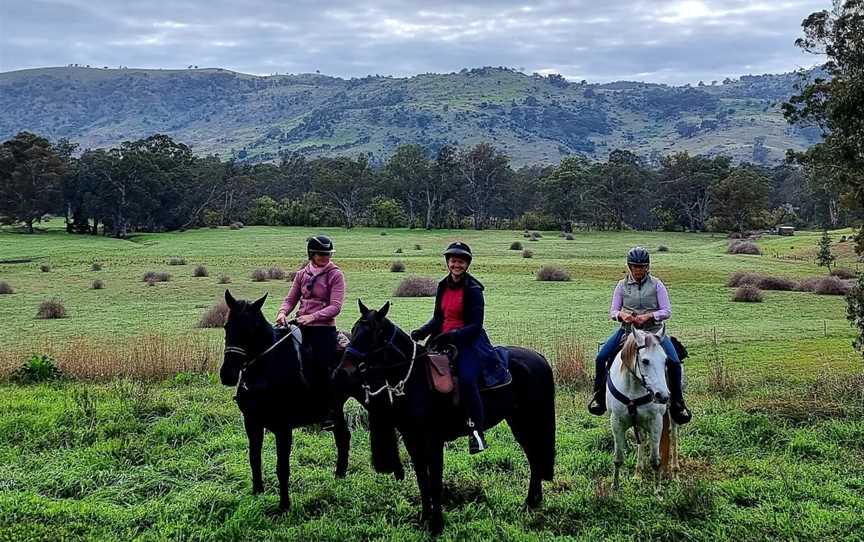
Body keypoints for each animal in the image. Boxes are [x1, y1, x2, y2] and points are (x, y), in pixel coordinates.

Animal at [219, 292, 354, 512]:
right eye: (226, 326)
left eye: (252, 329)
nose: (227, 375)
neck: (266, 369)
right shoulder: (252, 423)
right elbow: (254, 458)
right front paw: (257, 492)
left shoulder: (283, 428)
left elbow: (282, 467)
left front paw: (284, 506)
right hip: (337, 409)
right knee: (343, 436)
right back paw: (339, 476)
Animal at [334, 302, 556, 536]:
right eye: (354, 330)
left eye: (373, 334)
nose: (341, 373)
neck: (416, 379)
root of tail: (538, 357)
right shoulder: (412, 439)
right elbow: (422, 479)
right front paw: (424, 518)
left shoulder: (433, 441)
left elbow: (435, 483)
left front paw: (437, 526)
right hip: (517, 421)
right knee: (534, 457)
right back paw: (532, 502)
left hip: (528, 421)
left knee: (534, 456)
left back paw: (531, 502)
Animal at [608, 328, 680, 492]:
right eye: (645, 361)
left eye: (665, 361)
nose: (663, 396)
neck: (633, 388)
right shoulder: (616, 422)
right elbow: (618, 458)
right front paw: (615, 487)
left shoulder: (656, 422)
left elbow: (655, 460)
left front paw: (658, 490)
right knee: (641, 439)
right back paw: (638, 472)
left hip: (672, 415)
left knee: (673, 436)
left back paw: (674, 470)